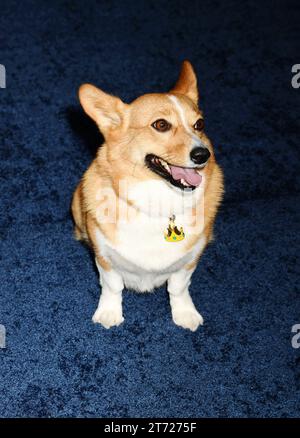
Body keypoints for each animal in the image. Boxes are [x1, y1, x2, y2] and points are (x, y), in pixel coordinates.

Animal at [72, 60, 223, 330]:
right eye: (161, 125)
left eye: (199, 125)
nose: (202, 154)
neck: (160, 202)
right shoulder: (105, 257)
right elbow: (112, 286)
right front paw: (109, 313)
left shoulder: (190, 260)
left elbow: (179, 287)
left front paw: (185, 313)